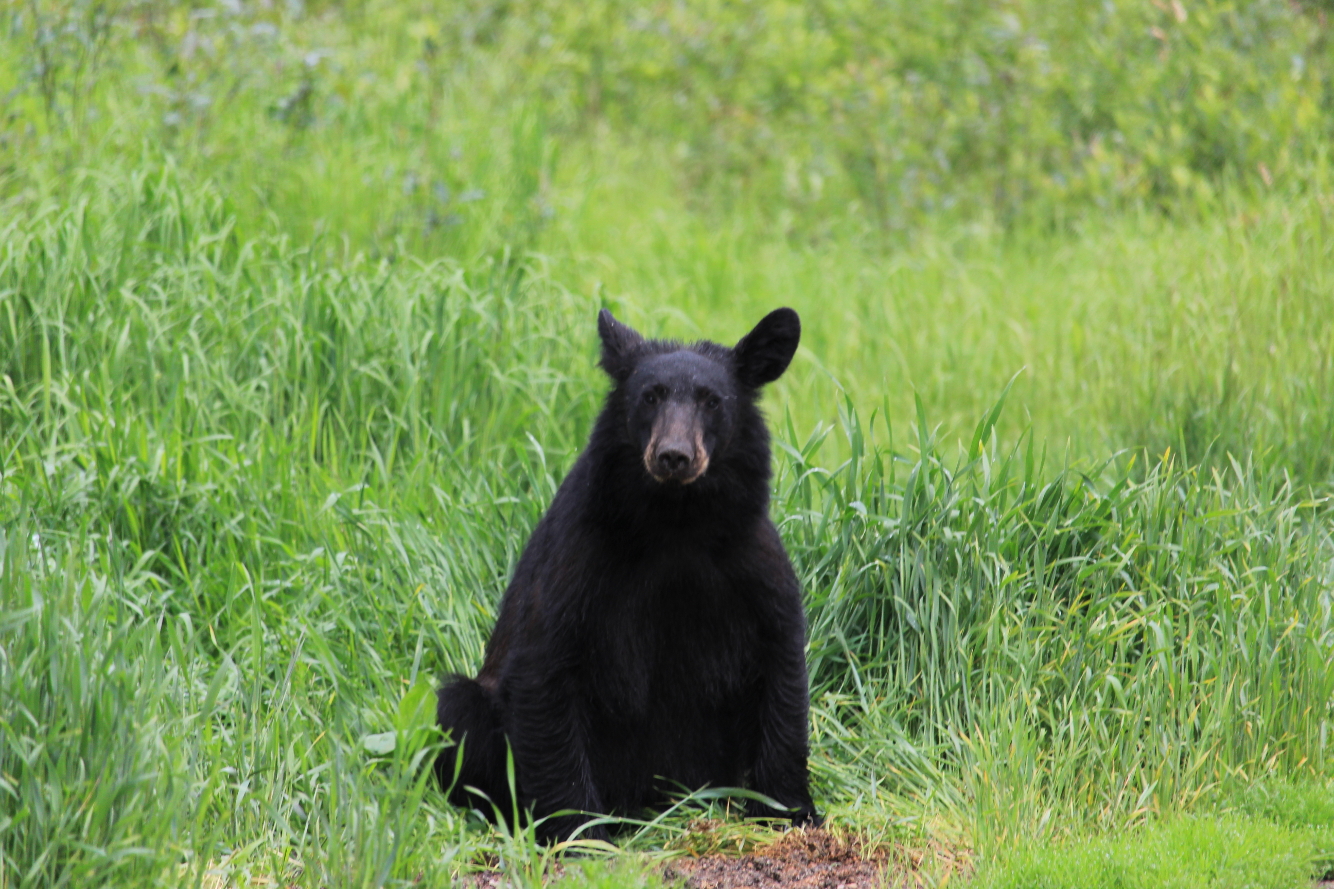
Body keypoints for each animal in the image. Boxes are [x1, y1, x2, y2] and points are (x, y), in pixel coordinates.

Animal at [437, 308, 816, 843]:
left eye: (712, 401)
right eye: (650, 396)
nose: (674, 456)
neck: (676, 520)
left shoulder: (753, 565)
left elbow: (781, 666)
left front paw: (791, 812)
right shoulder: (578, 559)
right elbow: (543, 668)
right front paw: (579, 832)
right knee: (457, 710)